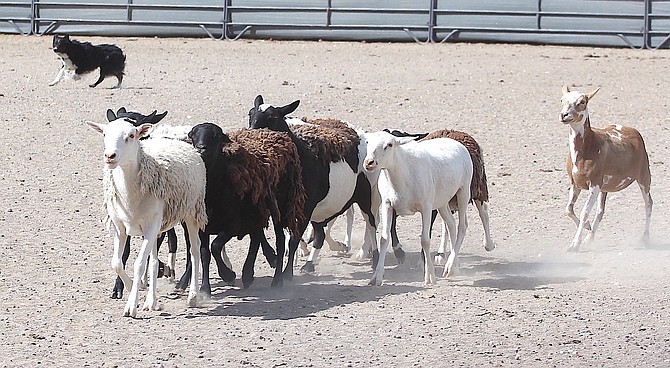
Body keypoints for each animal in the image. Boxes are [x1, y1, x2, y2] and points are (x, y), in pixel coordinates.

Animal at [86, 118, 207, 320]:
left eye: (131, 135)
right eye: (104, 134)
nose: (110, 156)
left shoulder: (151, 226)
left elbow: (139, 264)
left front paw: (131, 306)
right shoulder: (120, 227)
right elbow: (117, 263)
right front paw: (131, 289)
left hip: (191, 210)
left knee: (195, 250)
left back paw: (192, 296)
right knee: (154, 261)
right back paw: (152, 301)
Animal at [362, 131, 472, 286]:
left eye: (389, 144)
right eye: (367, 143)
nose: (369, 162)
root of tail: (454, 141)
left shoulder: (426, 206)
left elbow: (425, 240)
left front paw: (430, 277)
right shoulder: (387, 204)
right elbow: (384, 239)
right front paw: (376, 277)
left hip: (464, 191)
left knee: (462, 226)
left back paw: (450, 267)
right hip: (442, 201)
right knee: (451, 224)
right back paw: (453, 266)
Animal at [560, 85, 652, 253]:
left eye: (582, 102)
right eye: (562, 100)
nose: (564, 115)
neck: (588, 147)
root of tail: (632, 130)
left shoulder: (594, 184)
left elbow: (584, 213)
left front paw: (574, 244)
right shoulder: (575, 184)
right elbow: (568, 209)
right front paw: (587, 229)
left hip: (644, 176)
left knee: (648, 204)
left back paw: (645, 238)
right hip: (605, 188)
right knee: (600, 211)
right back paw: (589, 238)